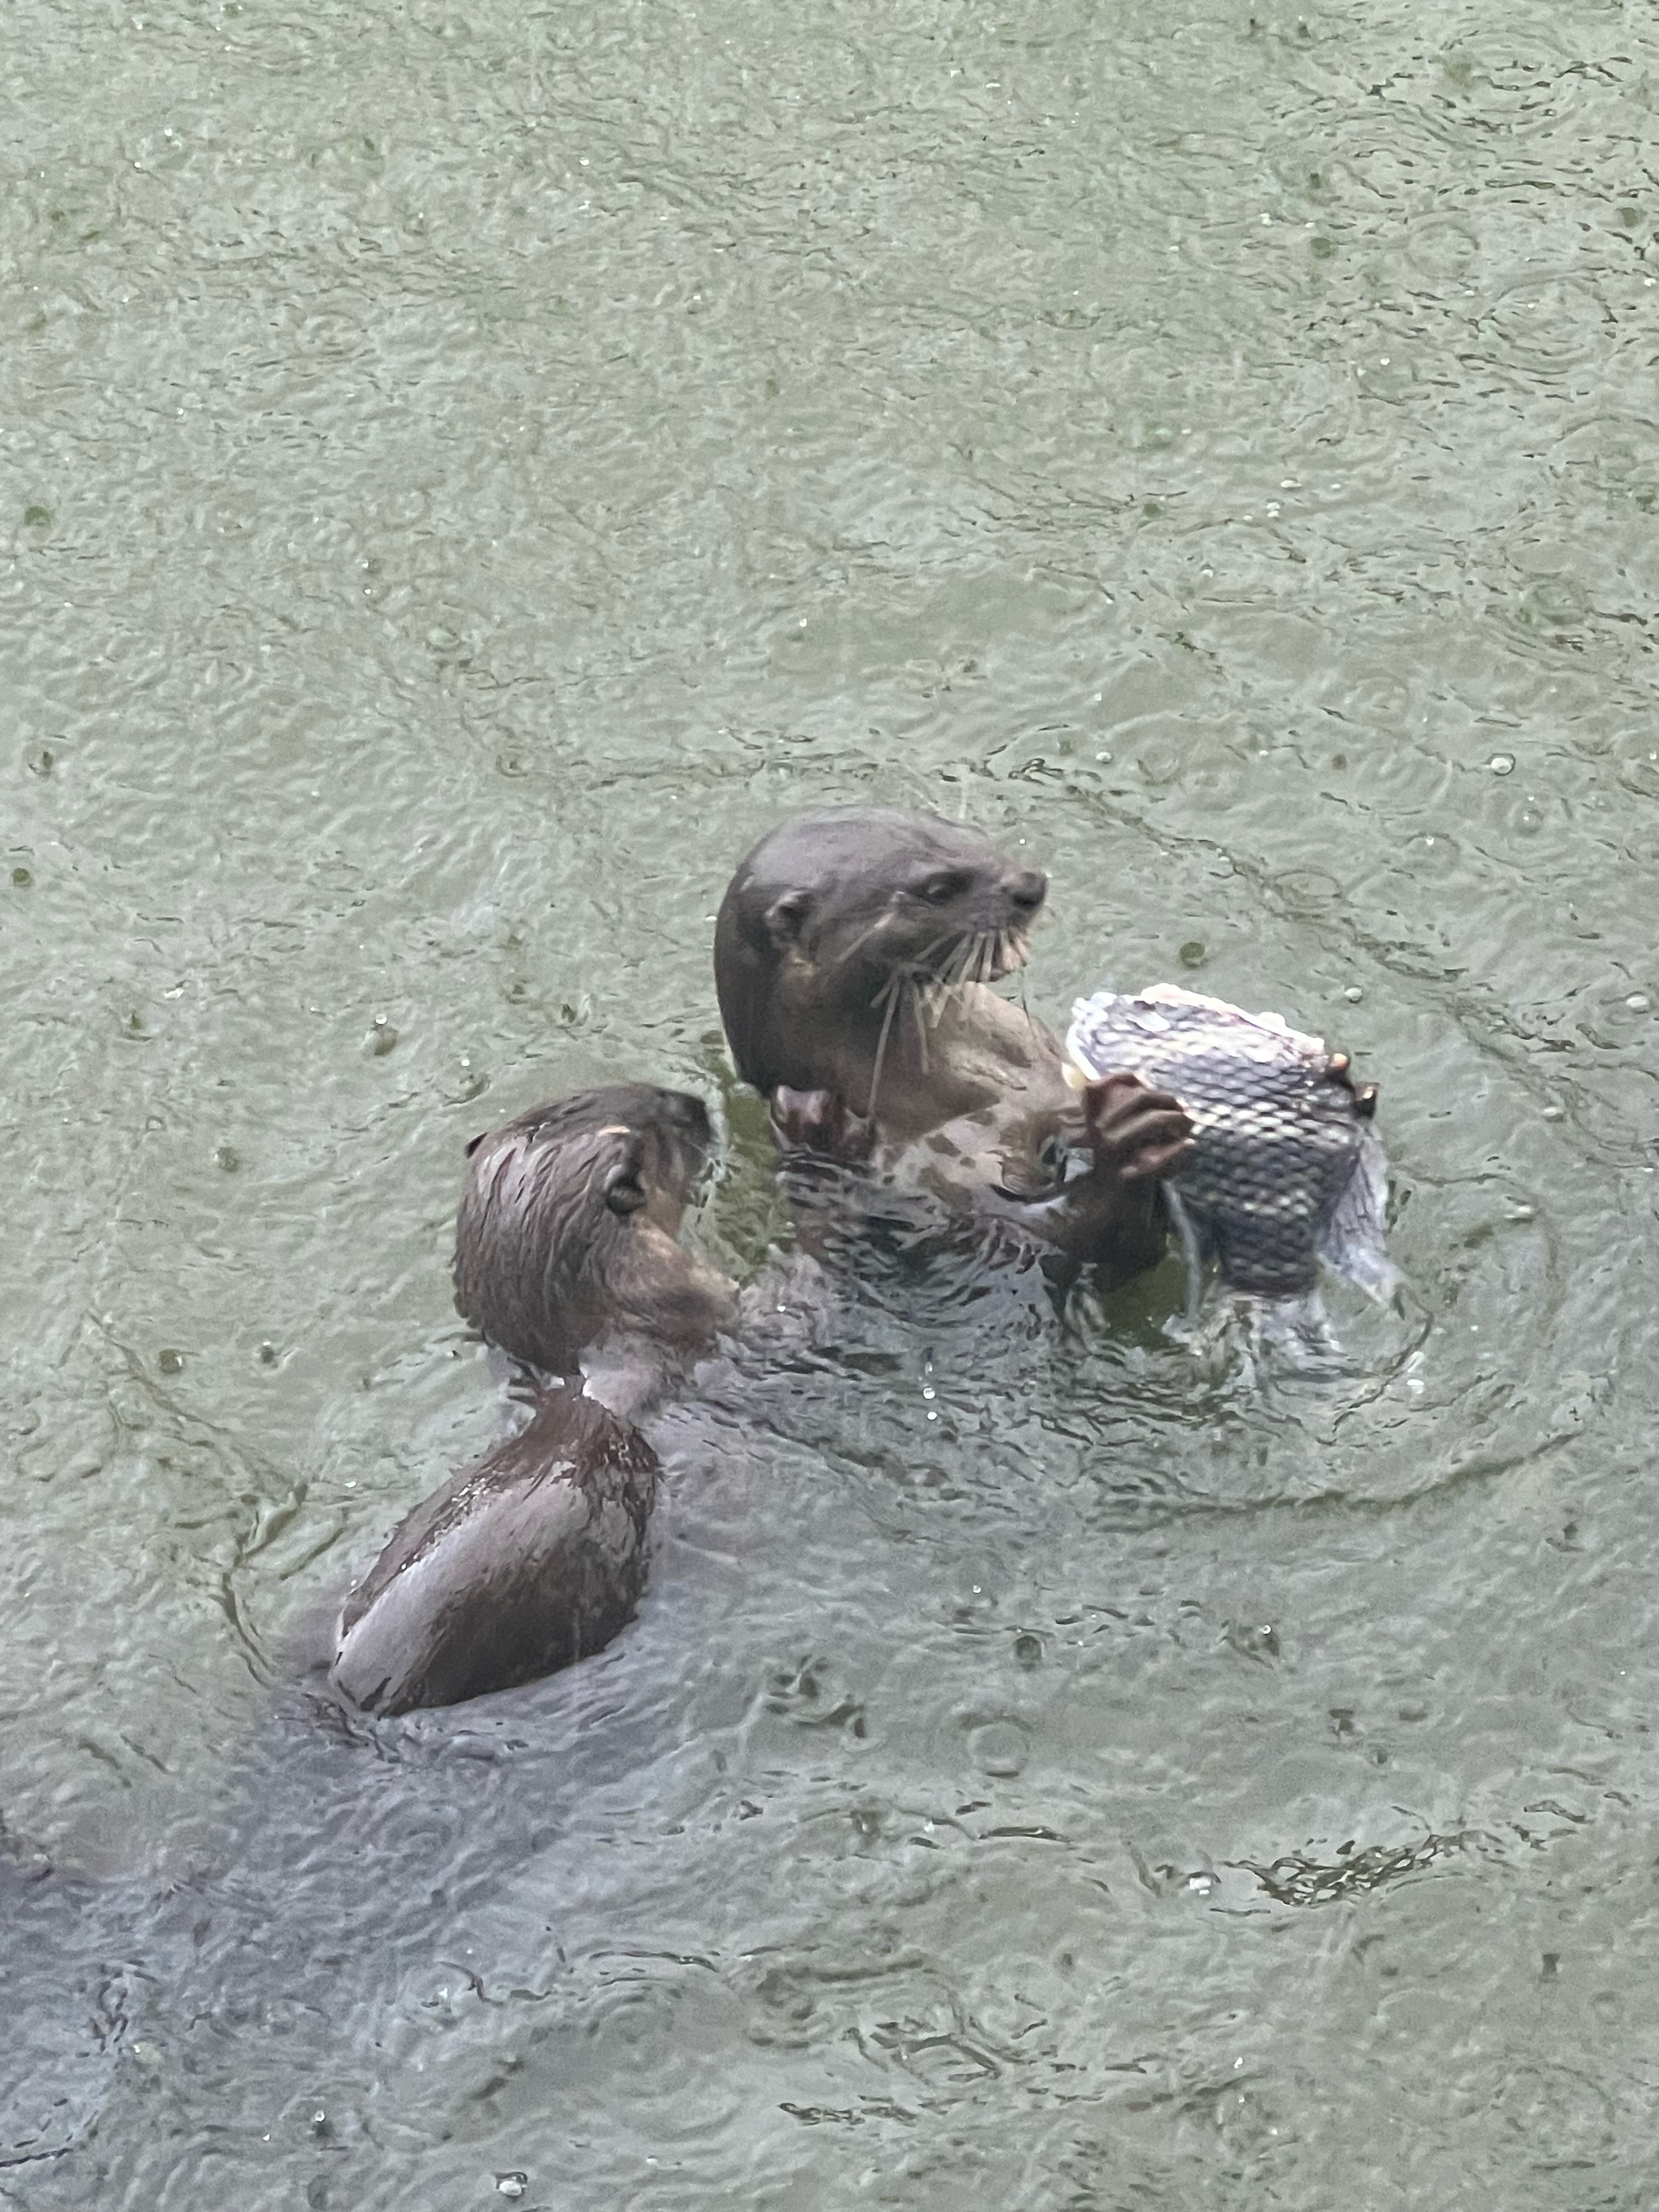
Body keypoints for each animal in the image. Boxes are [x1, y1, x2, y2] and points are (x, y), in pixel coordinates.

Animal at [716, 809, 1194, 1283]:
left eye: (970, 833)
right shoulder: (929, 1175)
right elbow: (1077, 1239)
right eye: (938, 889)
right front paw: (1128, 1133)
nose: (1031, 885)